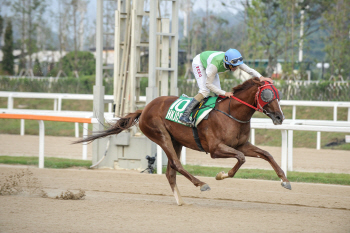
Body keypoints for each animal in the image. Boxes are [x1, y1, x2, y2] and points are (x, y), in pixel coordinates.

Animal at [76, 78, 290, 206]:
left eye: (278, 95)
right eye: (268, 95)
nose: (280, 117)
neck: (232, 113)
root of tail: (144, 109)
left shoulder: (241, 144)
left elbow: (266, 154)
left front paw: (285, 181)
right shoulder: (215, 149)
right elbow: (241, 158)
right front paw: (221, 175)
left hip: (176, 141)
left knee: (171, 172)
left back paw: (180, 200)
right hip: (161, 136)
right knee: (177, 165)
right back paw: (201, 184)